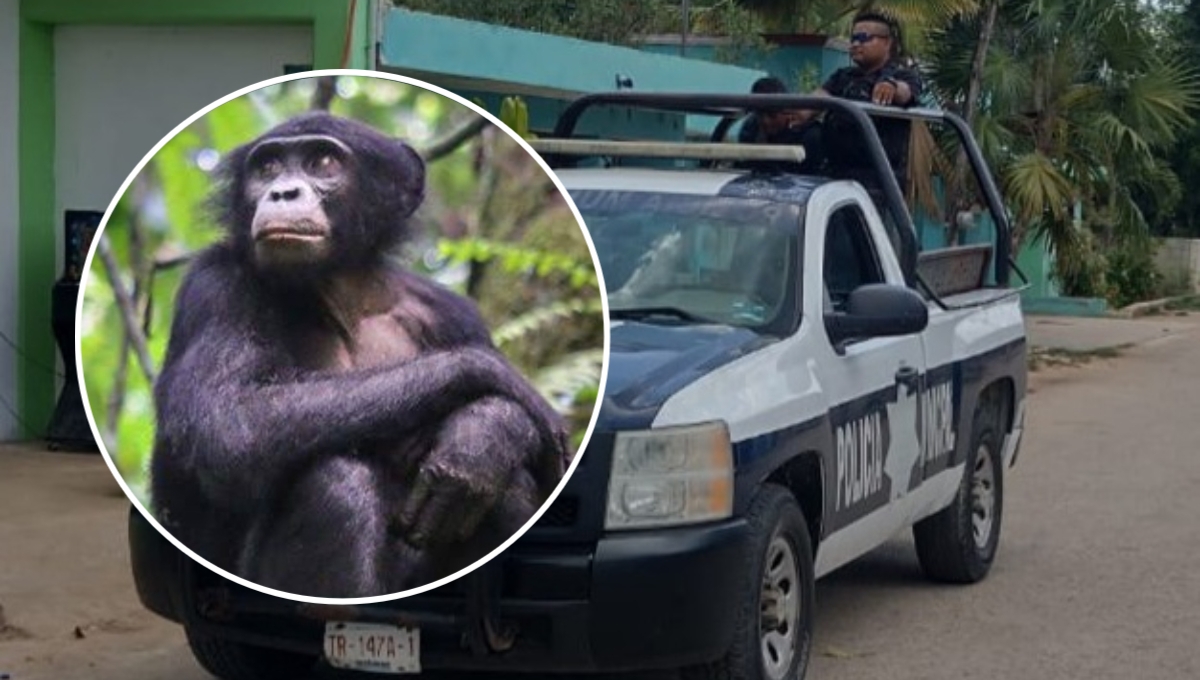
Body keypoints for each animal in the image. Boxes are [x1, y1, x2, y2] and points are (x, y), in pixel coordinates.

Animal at [148, 111, 571, 602]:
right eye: (267, 168)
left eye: (323, 162)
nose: (283, 191)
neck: (340, 296)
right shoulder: (215, 287)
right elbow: (229, 418)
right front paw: (496, 382)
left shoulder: (455, 316)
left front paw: (485, 434)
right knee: (334, 482)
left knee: (509, 490)